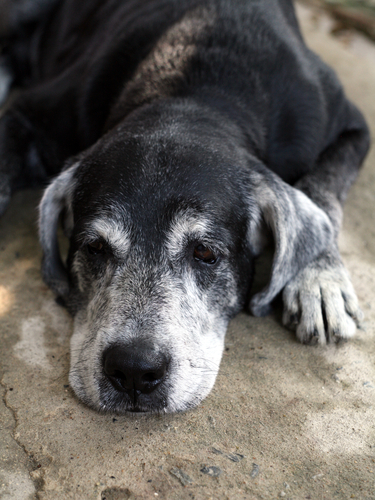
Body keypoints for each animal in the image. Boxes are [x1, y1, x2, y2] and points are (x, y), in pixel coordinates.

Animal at [0, 0, 370, 414]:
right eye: (94, 247)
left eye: (205, 252)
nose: (133, 370)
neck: (192, 92)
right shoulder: (29, 114)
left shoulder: (351, 125)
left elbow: (323, 187)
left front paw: (320, 278)